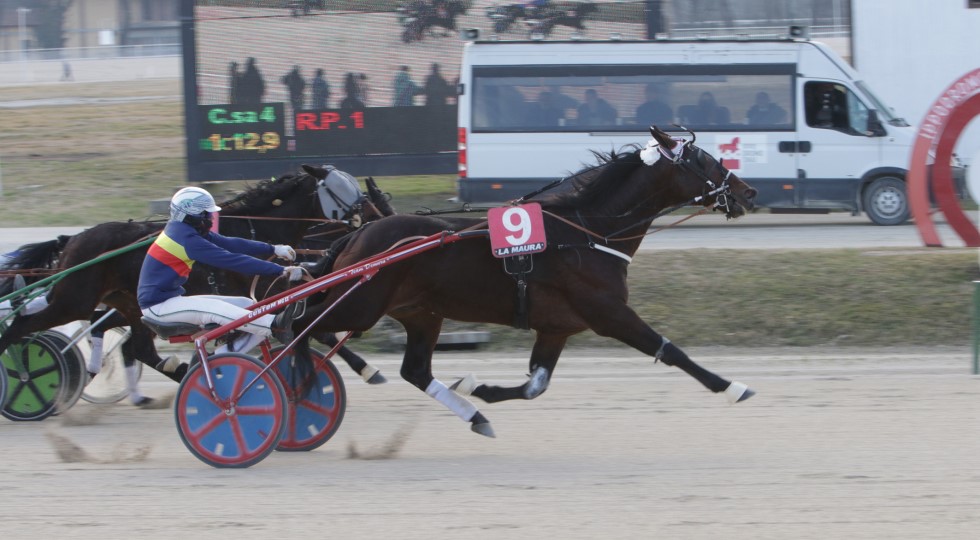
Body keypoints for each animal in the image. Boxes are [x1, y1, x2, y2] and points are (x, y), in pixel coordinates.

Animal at [0, 167, 394, 400]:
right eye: (349, 192)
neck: (257, 225)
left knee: (136, 347)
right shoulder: (266, 290)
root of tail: (73, 239)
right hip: (74, 300)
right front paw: (369, 369)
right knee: (23, 326)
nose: (378, 221)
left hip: (127, 304)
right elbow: (317, 329)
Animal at [288, 126, 758, 437]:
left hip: (420, 313)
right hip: (362, 305)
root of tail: (359, 233)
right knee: (298, 325)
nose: (747, 192)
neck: (585, 234)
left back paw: (475, 416)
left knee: (414, 369)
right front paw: (733, 386)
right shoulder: (608, 313)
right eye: (705, 160)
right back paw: (302, 383)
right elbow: (670, 350)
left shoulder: (556, 327)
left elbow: (536, 384)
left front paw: (480, 388)